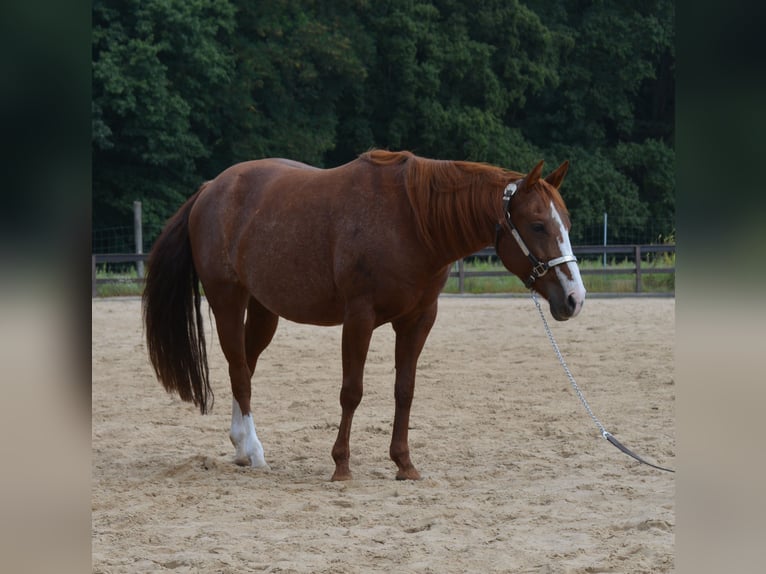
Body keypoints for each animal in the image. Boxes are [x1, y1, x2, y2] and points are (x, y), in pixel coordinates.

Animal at [143, 150, 586, 481]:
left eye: (566, 222)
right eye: (537, 225)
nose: (574, 298)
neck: (413, 222)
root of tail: (210, 189)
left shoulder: (419, 320)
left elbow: (404, 390)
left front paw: (404, 464)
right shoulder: (359, 318)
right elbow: (351, 391)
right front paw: (341, 465)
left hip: (264, 308)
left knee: (246, 367)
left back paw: (240, 448)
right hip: (227, 300)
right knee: (238, 370)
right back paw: (253, 450)